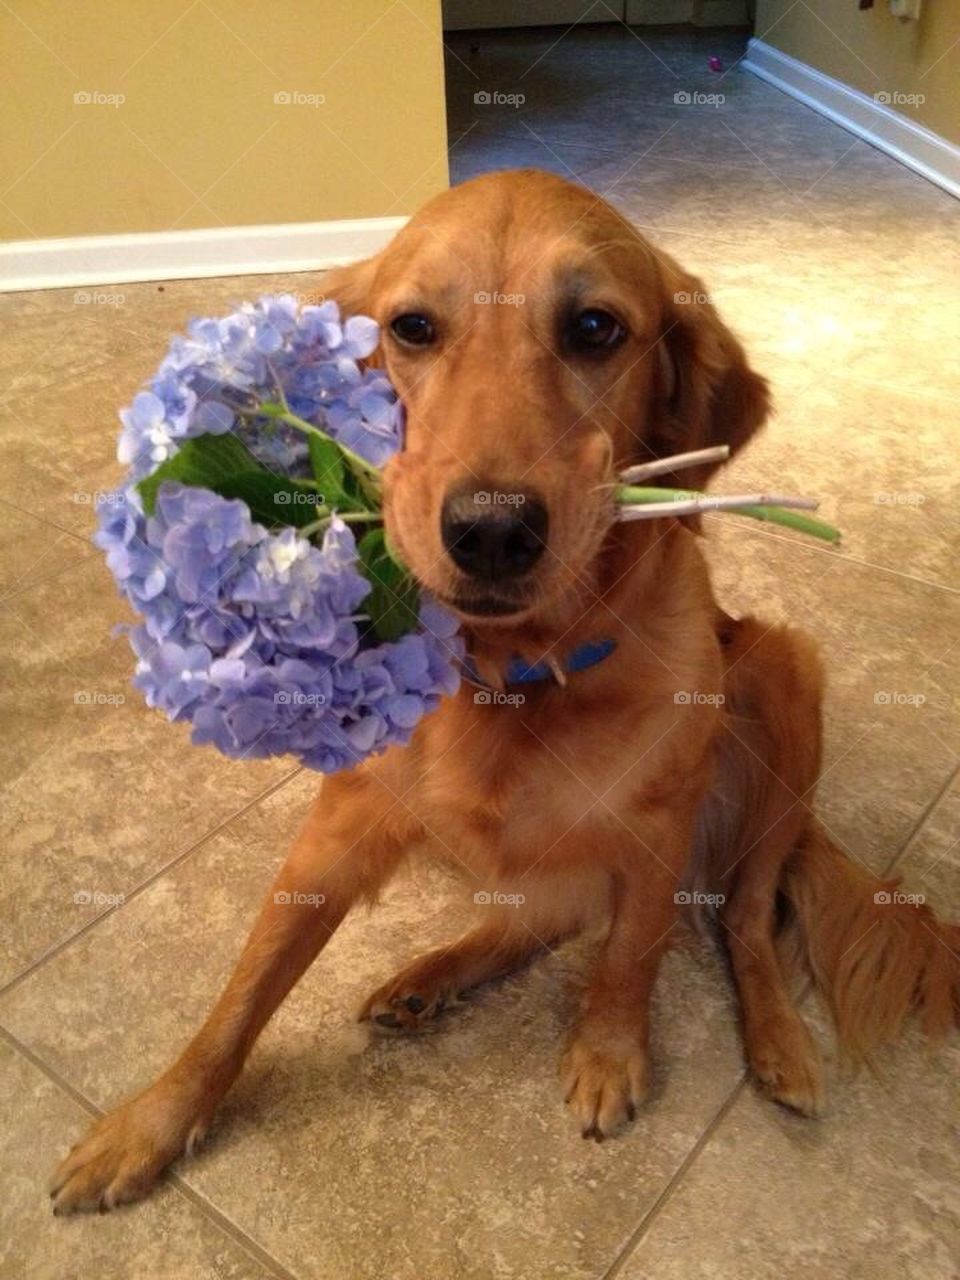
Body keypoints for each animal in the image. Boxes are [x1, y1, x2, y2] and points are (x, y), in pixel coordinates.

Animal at [54, 170, 960, 1208]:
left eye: (596, 328)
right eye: (411, 328)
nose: (491, 530)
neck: (515, 672)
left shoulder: (658, 825)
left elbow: (632, 954)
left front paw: (609, 1054)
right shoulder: (338, 827)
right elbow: (245, 989)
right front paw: (151, 1122)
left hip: (784, 678)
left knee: (743, 918)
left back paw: (780, 1044)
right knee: (535, 918)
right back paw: (431, 974)